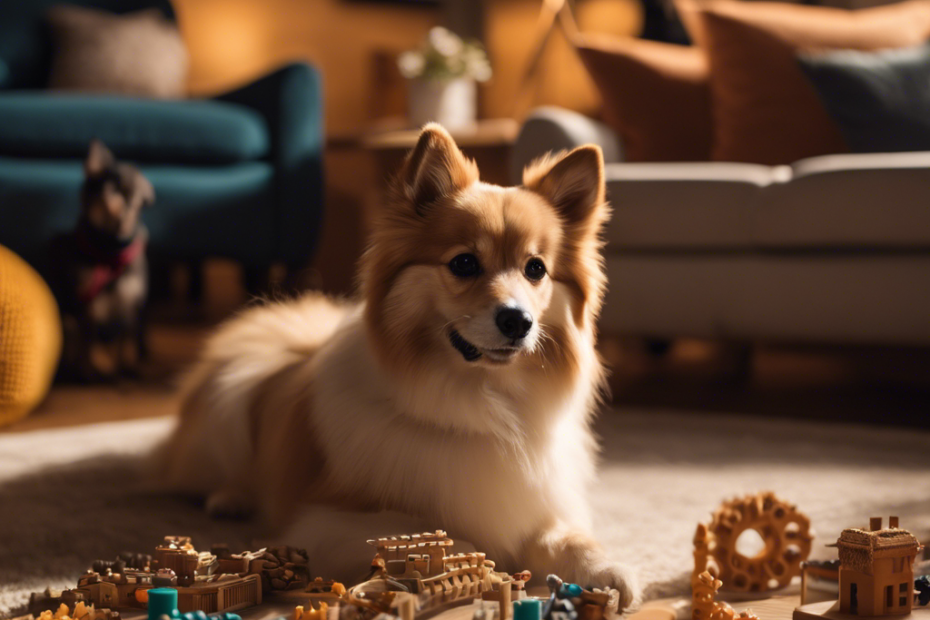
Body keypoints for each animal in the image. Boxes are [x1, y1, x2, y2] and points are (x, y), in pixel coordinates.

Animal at [51, 141, 155, 380]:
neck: (110, 251)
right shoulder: (86, 301)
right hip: (68, 317)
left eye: (136, 199)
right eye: (109, 190)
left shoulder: (133, 303)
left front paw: (129, 368)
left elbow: (128, 340)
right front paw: (91, 369)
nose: (124, 206)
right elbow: (89, 339)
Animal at [158, 123, 640, 608]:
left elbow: (569, 539)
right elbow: (451, 542)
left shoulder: (539, 507)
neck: (481, 406)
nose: (518, 321)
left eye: (536, 269)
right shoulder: (325, 521)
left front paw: (609, 571)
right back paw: (229, 498)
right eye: (464, 263)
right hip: (229, 408)